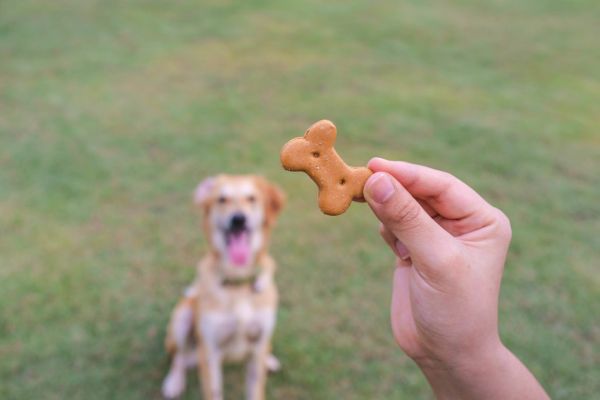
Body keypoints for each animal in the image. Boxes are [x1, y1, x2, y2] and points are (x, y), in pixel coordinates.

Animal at [162, 175, 286, 400]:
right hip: (182, 318)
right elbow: (213, 391)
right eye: (221, 199)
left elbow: (255, 389)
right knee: (179, 357)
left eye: (251, 198)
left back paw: (270, 360)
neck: (238, 282)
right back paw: (174, 382)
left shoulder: (257, 346)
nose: (238, 219)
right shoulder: (210, 353)